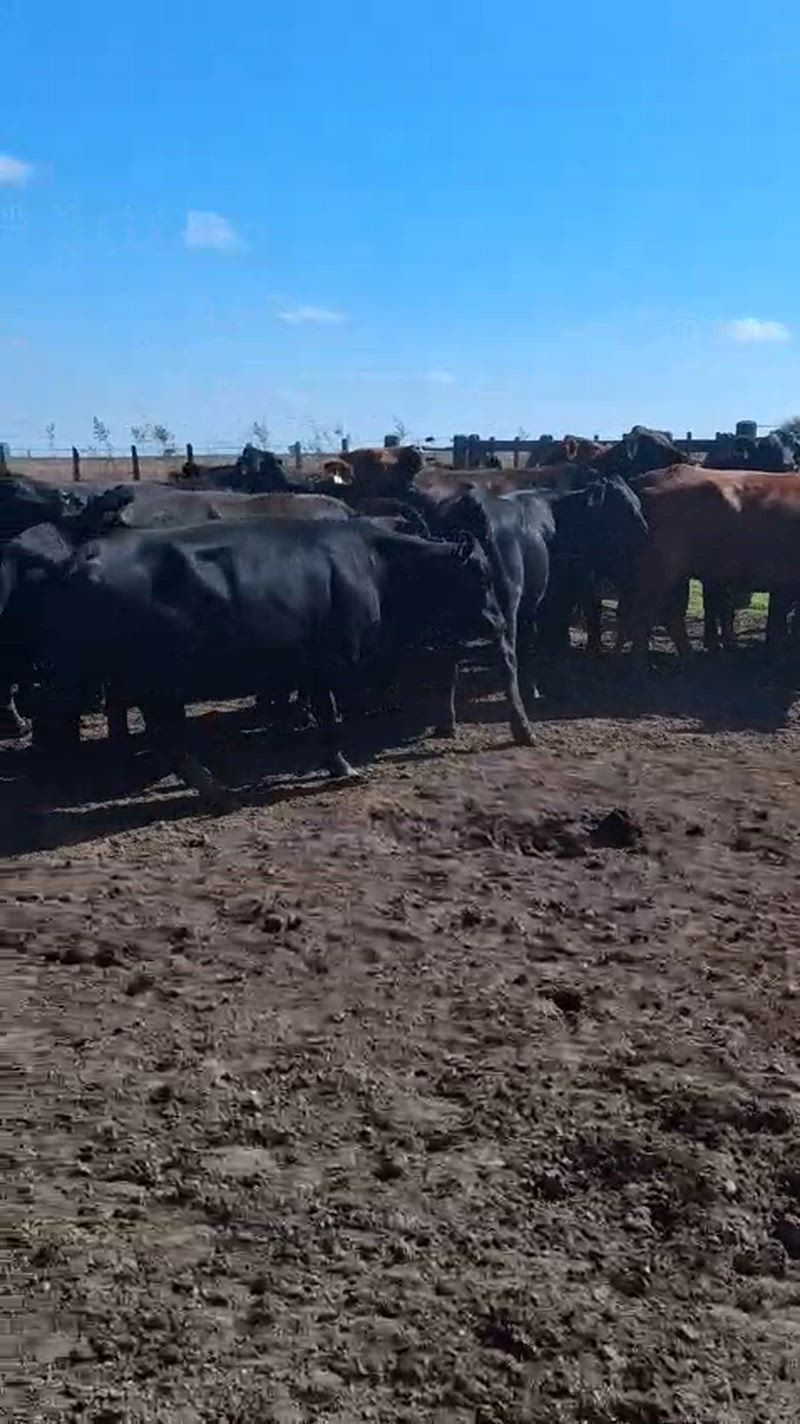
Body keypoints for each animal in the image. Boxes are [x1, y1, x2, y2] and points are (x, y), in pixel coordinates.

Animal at [0, 517, 533, 810]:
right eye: (482, 575)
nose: (498, 619)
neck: (373, 561)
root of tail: (80, 556)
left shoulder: (306, 662)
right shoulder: (327, 658)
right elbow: (329, 716)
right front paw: (342, 766)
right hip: (139, 676)